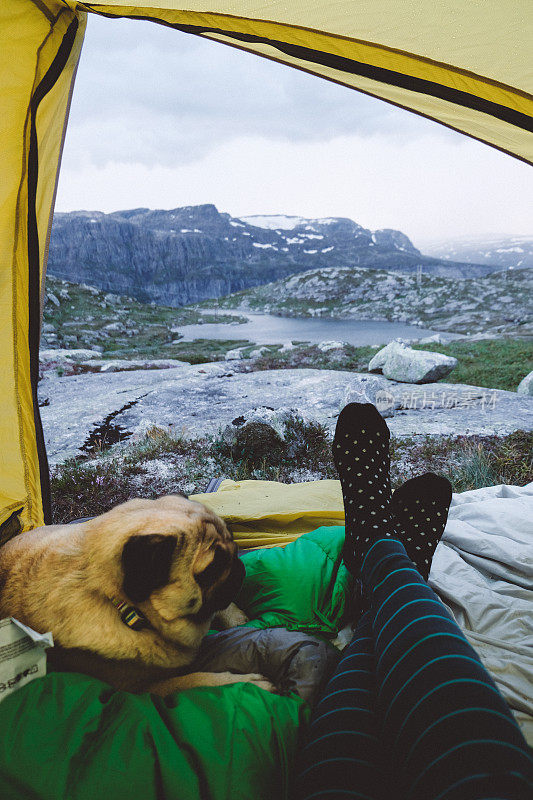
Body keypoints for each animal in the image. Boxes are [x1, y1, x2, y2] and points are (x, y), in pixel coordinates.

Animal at [0, 494, 274, 692]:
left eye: (233, 540)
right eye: (212, 568)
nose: (238, 566)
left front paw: (234, 616)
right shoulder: (144, 690)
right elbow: (193, 680)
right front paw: (244, 682)